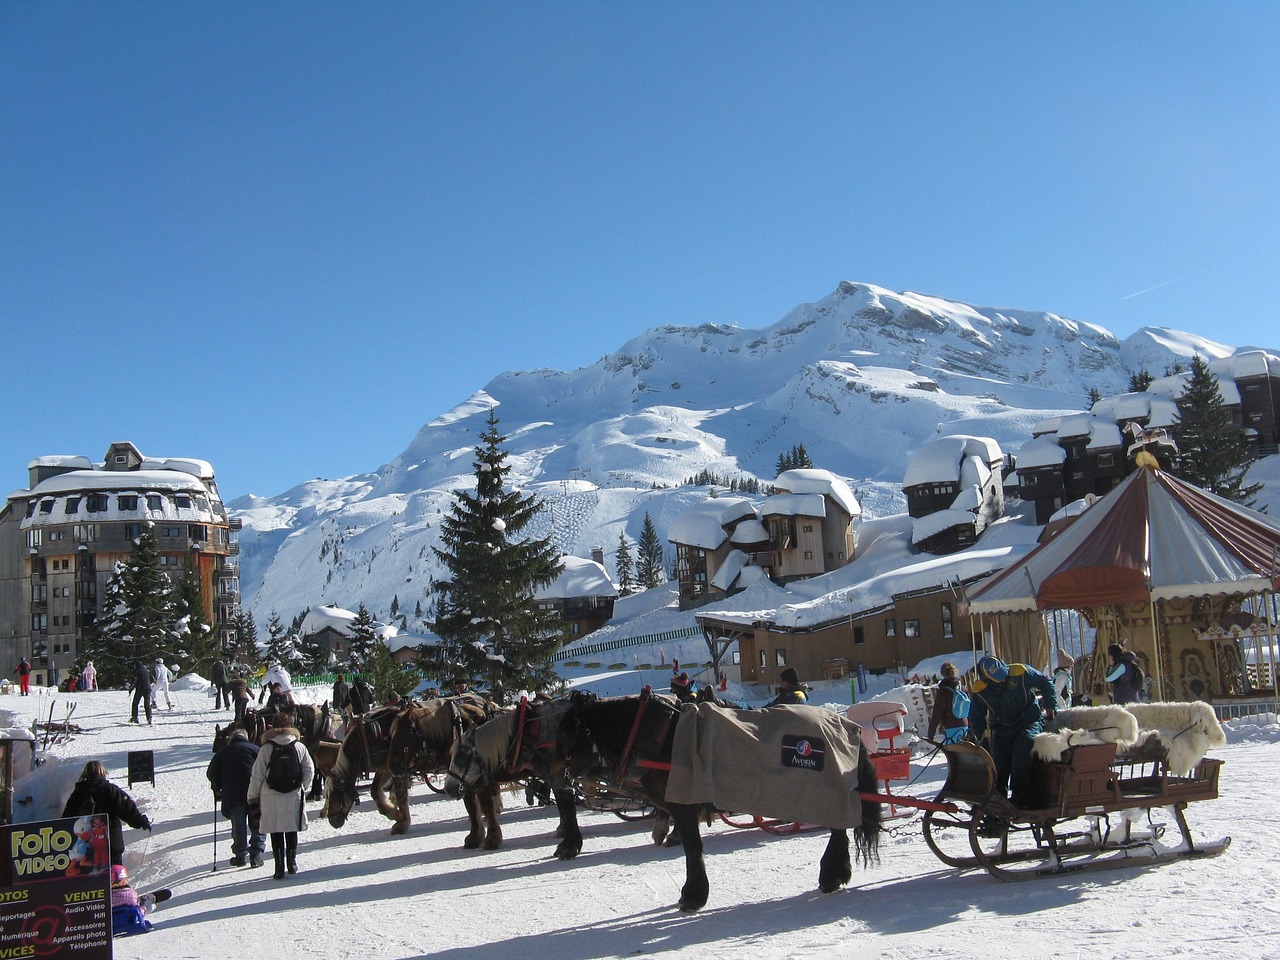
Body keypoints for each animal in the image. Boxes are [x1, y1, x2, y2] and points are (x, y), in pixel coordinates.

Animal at [381, 701, 501, 849]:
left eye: (402, 735)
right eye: (391, 736)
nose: (392, 767)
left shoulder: (479, 780)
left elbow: (486, 805)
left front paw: (492, 838)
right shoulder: (462, 781)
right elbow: (471, 806)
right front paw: (475, 837)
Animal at [555, 696, 885, 911]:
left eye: (567, 736)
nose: (557, 778)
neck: (658, 734)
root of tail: (846, 723)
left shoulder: (683, 804)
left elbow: (692, 847)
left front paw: (693, 895)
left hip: (825, 792)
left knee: (838, 828)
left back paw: (831, 874)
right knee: (840, 829)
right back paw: (836, 873)